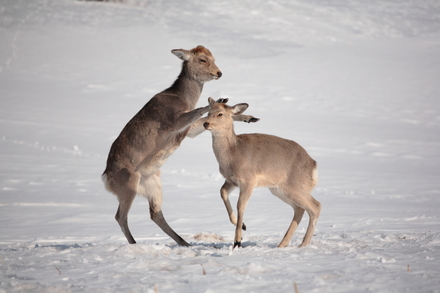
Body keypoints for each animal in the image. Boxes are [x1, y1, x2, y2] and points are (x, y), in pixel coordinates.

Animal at [102, 45, 260, 245]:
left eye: (213, 58)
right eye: (202, 59)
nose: (219, 72)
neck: (182, 99)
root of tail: (106, 178)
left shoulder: (187, 131)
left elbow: (200, 123)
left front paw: (249, 117)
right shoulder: (173, 120)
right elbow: (198, 112)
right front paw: (219, 101)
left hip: (152, 183)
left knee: (155, 213)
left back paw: (184, 242)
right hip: (128, 183)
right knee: (120, 216)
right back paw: (135, 244)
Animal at [203, 97, 320, 248]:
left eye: (220, 114)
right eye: (208, 112)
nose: (206, 123)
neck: (232, 156)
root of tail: (313, 165)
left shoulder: (249, 180)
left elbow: (241, 205)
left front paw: (237, 241)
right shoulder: (231, 180)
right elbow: (222, 192)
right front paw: (243, 226)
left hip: (295, 185)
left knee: (315, 206)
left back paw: (303, 244)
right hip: (279, 189)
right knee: (300, 209)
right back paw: (282, 244)